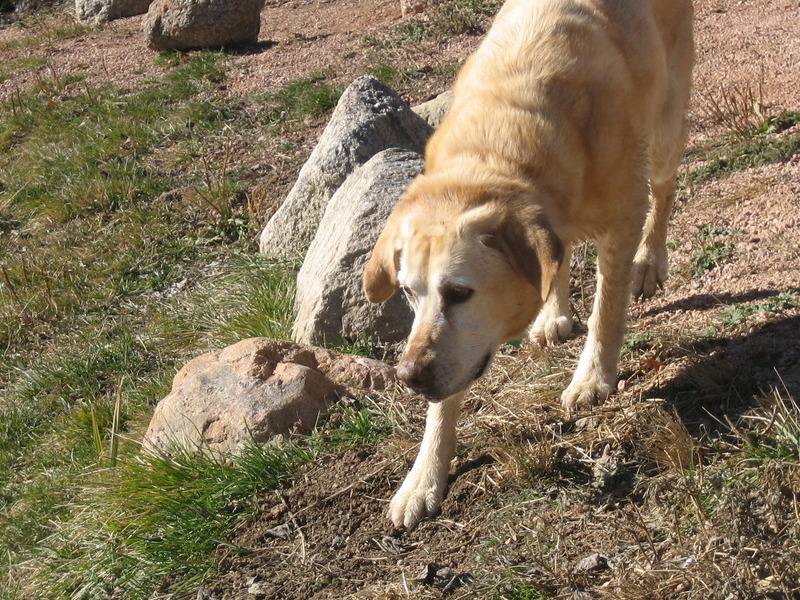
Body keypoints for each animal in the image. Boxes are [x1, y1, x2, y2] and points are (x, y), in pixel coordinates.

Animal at [366, 0, 692, 528]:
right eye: (409, 293)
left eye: (460, 293)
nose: (408, 377)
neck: (495, 156)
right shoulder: (452, 352)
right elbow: (445, 398)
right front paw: (422, 479)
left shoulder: (622, 219)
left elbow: (607, 310)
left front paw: (592, 377)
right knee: (555, 256)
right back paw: (553, 314)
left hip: (666, 121)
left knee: (663, 189)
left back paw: (649, 263)